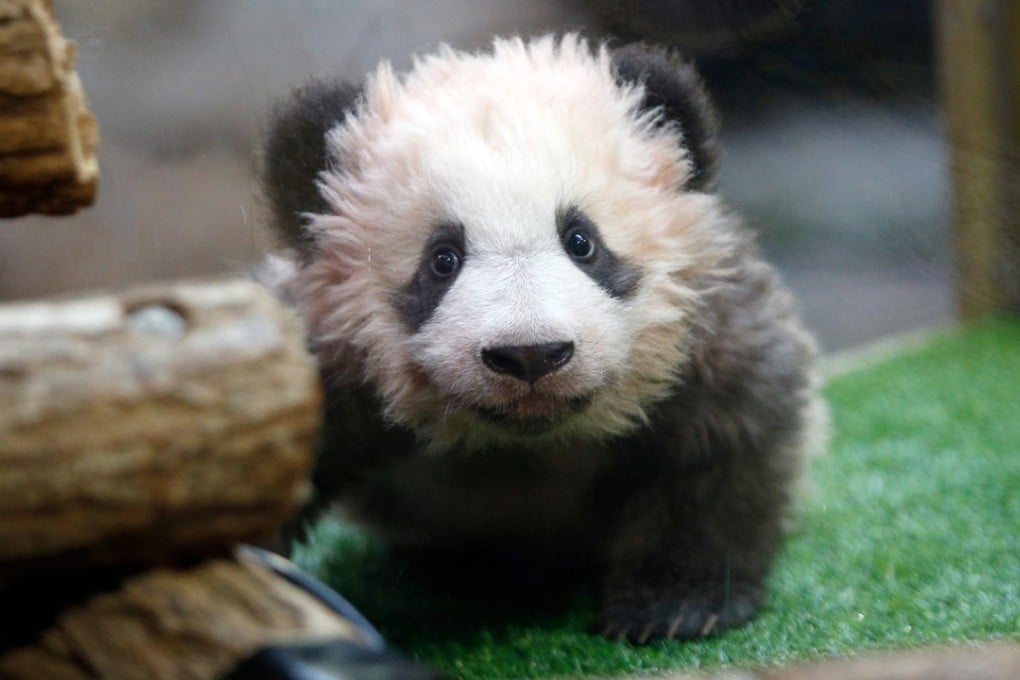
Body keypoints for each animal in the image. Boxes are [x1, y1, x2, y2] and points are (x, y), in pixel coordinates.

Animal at [259, 34, 826, 644]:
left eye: (581, 241)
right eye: (442, 259)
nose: (530, 355)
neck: (527, 441)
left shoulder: (703, 330)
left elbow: (720, 447)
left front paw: (675, 604)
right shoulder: (326, 359)